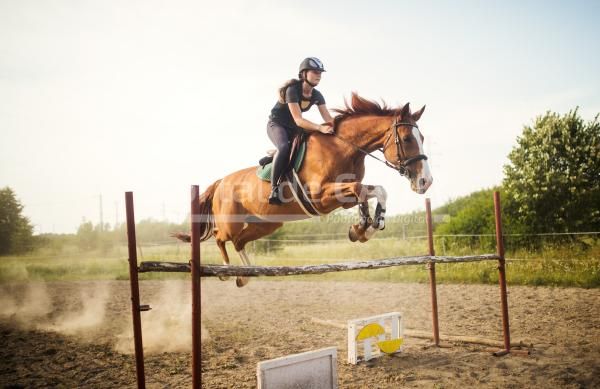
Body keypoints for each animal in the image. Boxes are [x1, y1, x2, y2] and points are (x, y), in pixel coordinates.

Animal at [178, 91, 432, 284]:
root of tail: (221, 181)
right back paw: (227, 271)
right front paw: (361, 228)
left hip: (267, 224)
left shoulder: (342, 196)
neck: (344, 148)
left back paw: (247, 275)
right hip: (232, 222)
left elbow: (375, 190)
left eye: (422, 138)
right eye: (408, 139)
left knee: (240, 241)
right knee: (221, 236)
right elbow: (360, 189)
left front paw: (365, 228)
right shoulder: (319, 197)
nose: (425, 181)